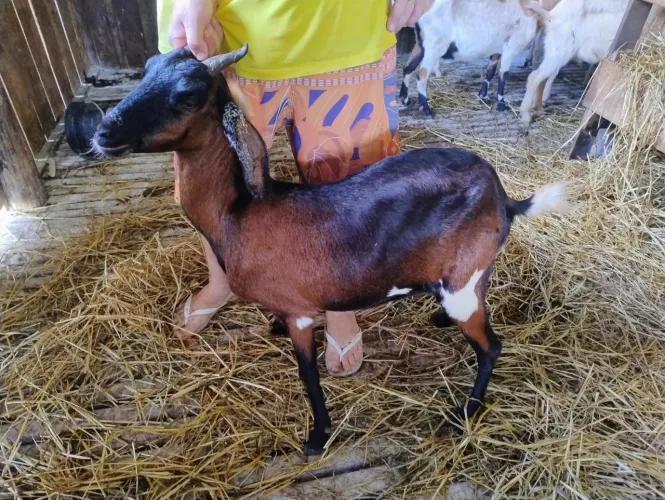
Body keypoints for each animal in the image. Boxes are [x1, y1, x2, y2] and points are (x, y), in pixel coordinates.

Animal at [93, 46, 569, 456]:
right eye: (148, 68)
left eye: (188, 95)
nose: (102, 130)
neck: (240, 214)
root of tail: (505, 198)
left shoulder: (301, 312)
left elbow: (308, 376)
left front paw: (318, 436)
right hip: (468, 276)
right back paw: (438, 319)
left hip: (464, 280)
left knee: (491, 348)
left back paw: (463, 413)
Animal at [400, 0, 547, 115]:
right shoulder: (511, 48)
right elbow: (503, 75)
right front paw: (501, 105)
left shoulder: (496, 50)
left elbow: (490, 71)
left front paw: (484, 97)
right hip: (434, 47)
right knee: (421, 74)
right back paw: (426, 109)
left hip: (421, 45)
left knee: (408, 67)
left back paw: (405, 99)